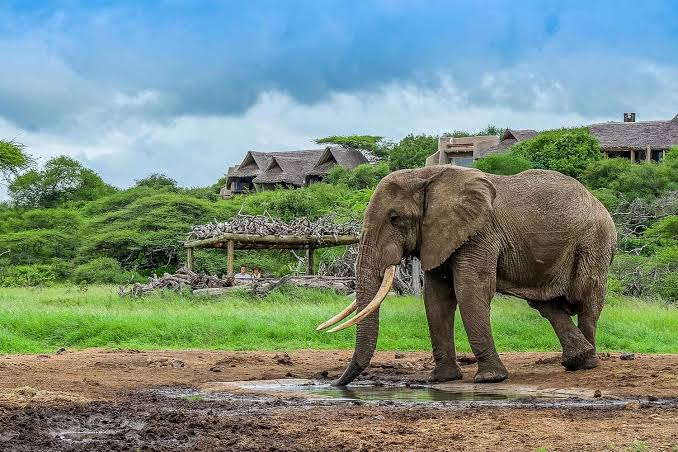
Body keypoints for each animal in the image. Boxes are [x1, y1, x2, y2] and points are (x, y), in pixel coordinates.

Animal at [317, 165, 617, 386]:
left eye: (394, 219)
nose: (334, 383)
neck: (428, 177)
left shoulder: (479, 233)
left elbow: (470, 288)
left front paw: (490, 379)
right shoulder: (439, 236)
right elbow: (436, 296)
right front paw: (443, 379)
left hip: (594, 243)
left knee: (586, 299)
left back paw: (588, 364)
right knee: (546, 303)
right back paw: (577, 360)